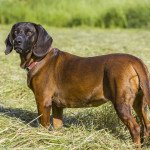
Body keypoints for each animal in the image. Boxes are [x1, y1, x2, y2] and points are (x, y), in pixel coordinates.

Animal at [4, 22, 150, 148]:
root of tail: (135, 60)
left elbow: (43, 125)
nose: (17, 41)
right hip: (139, 103)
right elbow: (57, 125)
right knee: (146, 125)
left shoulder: (43, 101)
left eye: (29, 32)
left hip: (121, 104)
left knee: (136, 128)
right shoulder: (57, 106)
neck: (39, 59)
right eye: (15, 32)